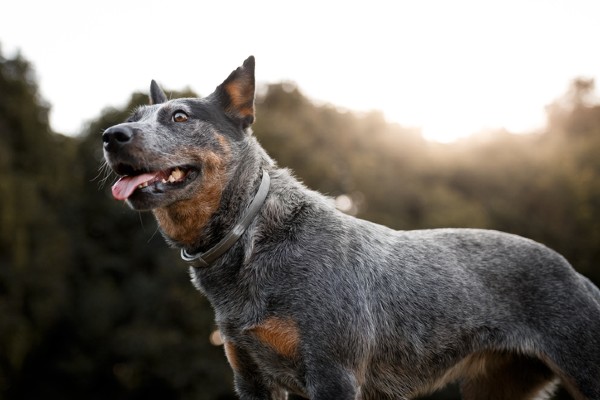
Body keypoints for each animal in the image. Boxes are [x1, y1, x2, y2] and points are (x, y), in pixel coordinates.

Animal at [103, 57, 600, 400]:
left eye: (180, 117)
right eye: (135, 116)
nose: (111, 135)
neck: (252, 236)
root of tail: (578, 275)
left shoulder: (332, 373)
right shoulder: (250, 375)